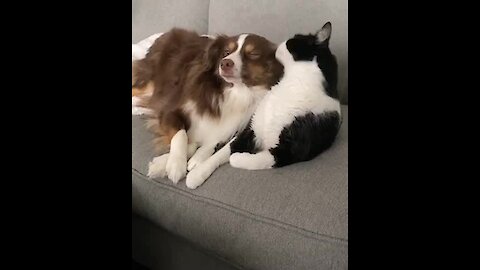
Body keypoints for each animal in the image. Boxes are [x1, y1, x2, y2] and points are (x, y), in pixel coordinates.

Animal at [131, 27, 284, 188]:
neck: (237, 92)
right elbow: (181, 134)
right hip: (151, 82)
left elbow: (215, 146)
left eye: (253, 54)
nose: (225, 63)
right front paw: (175, 165)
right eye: (226, 52)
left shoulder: (242, 128)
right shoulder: (170, 110)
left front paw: (193, 166)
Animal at [187, 22, 342, 189]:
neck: (295, 84)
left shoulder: (288, 152)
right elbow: (221, 153)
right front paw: (196, 175)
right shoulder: (249, 131)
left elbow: (255, 159)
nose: (280, 42)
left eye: (294, 38)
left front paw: (236, 158)